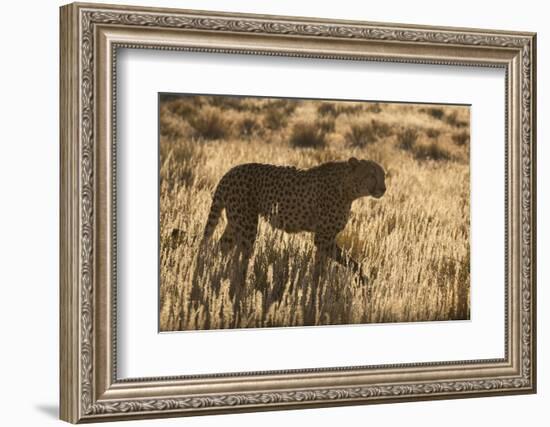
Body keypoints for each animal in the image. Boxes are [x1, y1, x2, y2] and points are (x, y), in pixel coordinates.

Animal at [199, 157, 388, 300]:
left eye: (383, 175)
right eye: (371, 174)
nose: (384, 188)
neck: (348, 188)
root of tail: (230, 172)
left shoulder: (326, 239)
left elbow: (340, 264)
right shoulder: (323, 238)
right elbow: (332, 265)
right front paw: (316, 293)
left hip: (235, 222)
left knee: (221, 247)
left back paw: (215, 273)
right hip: (247, 226)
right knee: (241, 258)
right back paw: (239, 287)